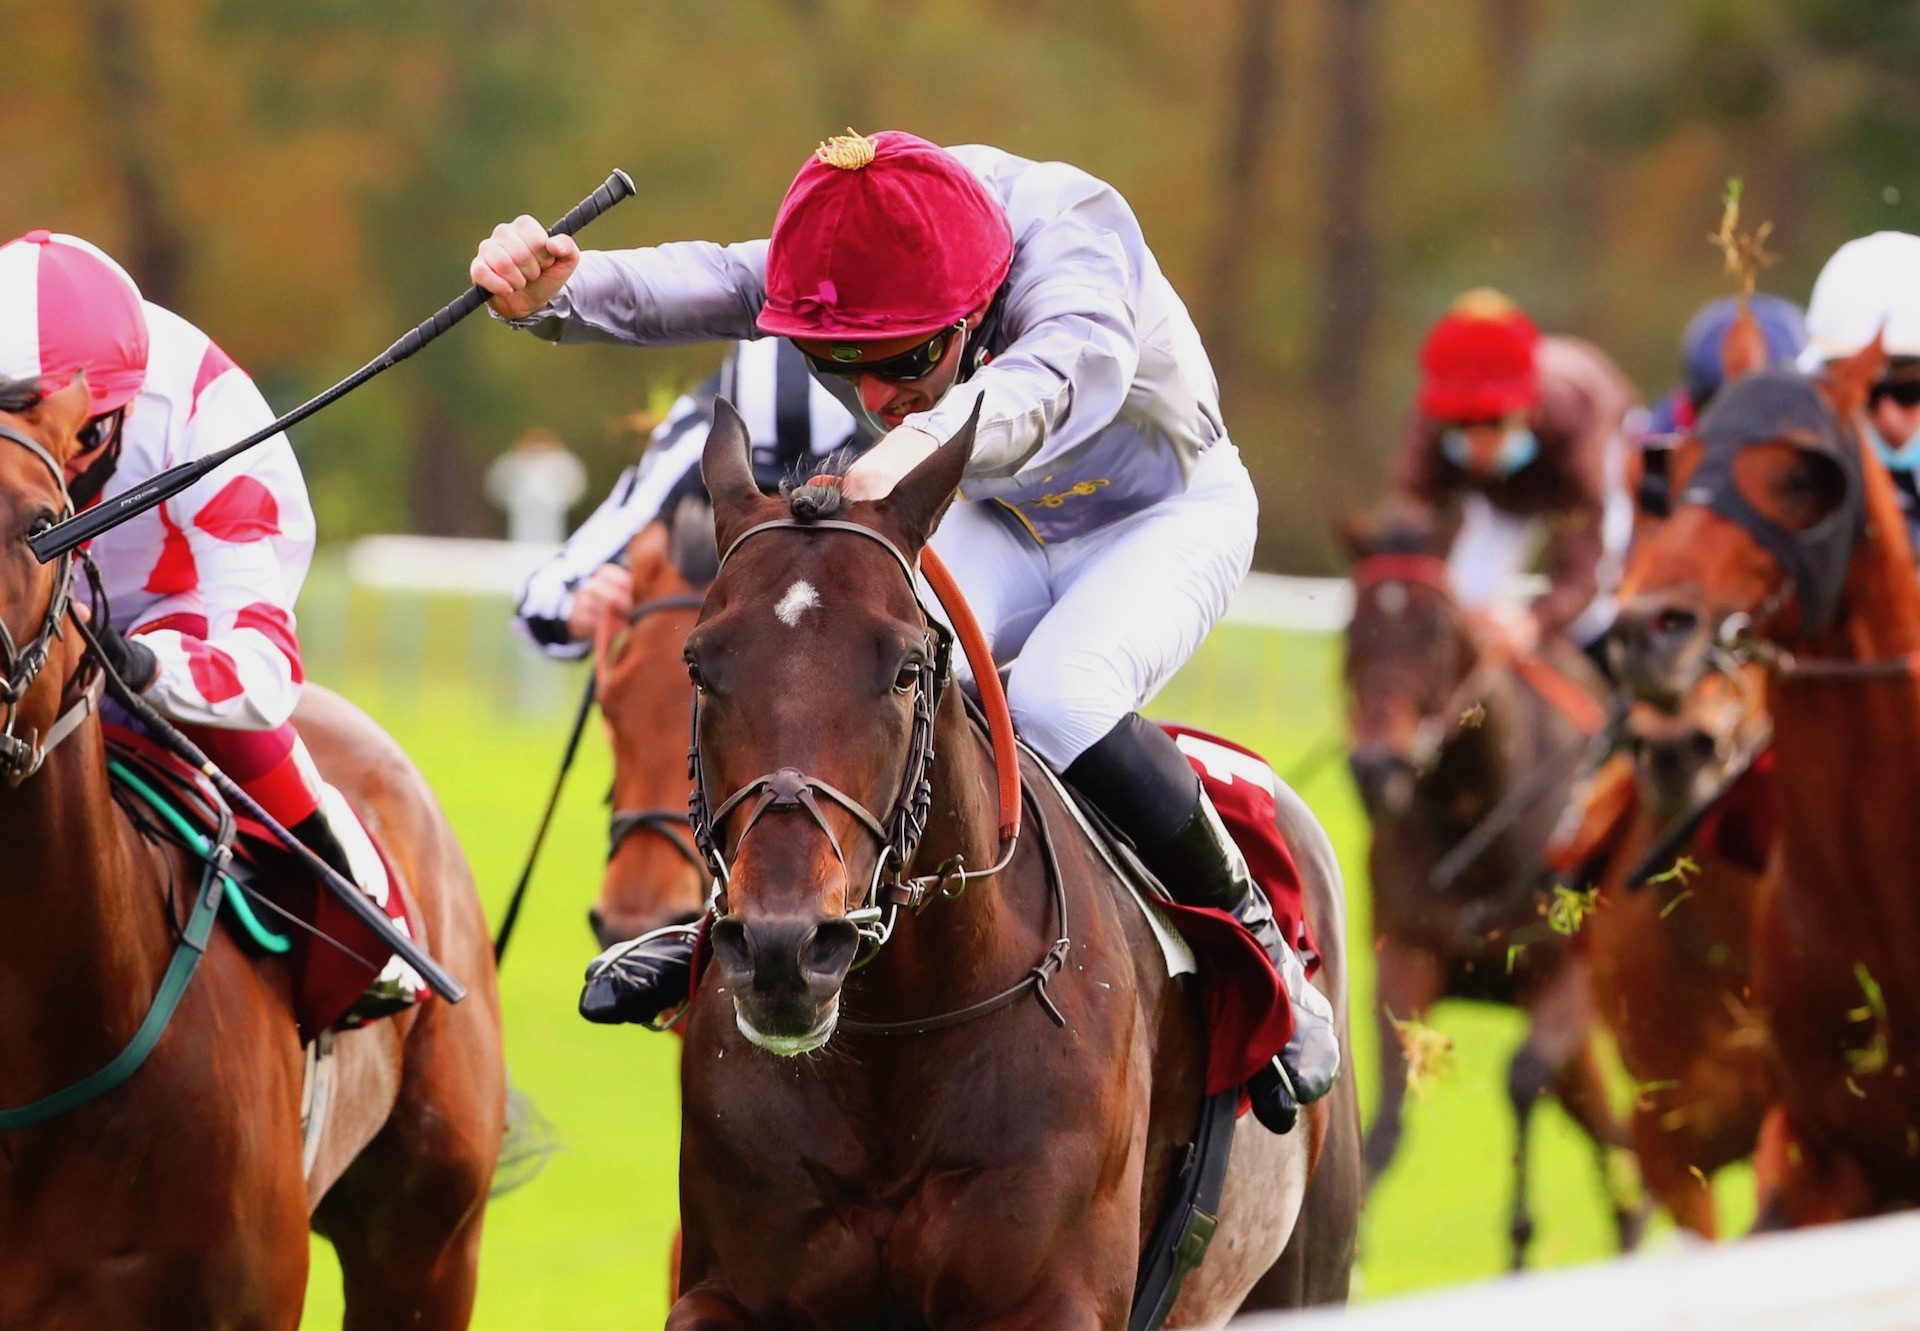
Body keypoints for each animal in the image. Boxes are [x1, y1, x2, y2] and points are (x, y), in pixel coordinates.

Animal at [652, 399, 1359, 1321]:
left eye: (907, 668)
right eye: (700, 663)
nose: (783, 948)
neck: (893, 1058)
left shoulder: (1055, 1299)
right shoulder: (724, 1285)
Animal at [1344, 499, 1643, 1267]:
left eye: (1437, 633)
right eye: (1352, 629)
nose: (1375, 767)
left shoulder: (1564, 976)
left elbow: (1521, 1079)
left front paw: (1519, 1241)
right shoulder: (1407, 956)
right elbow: (1387, 1120)